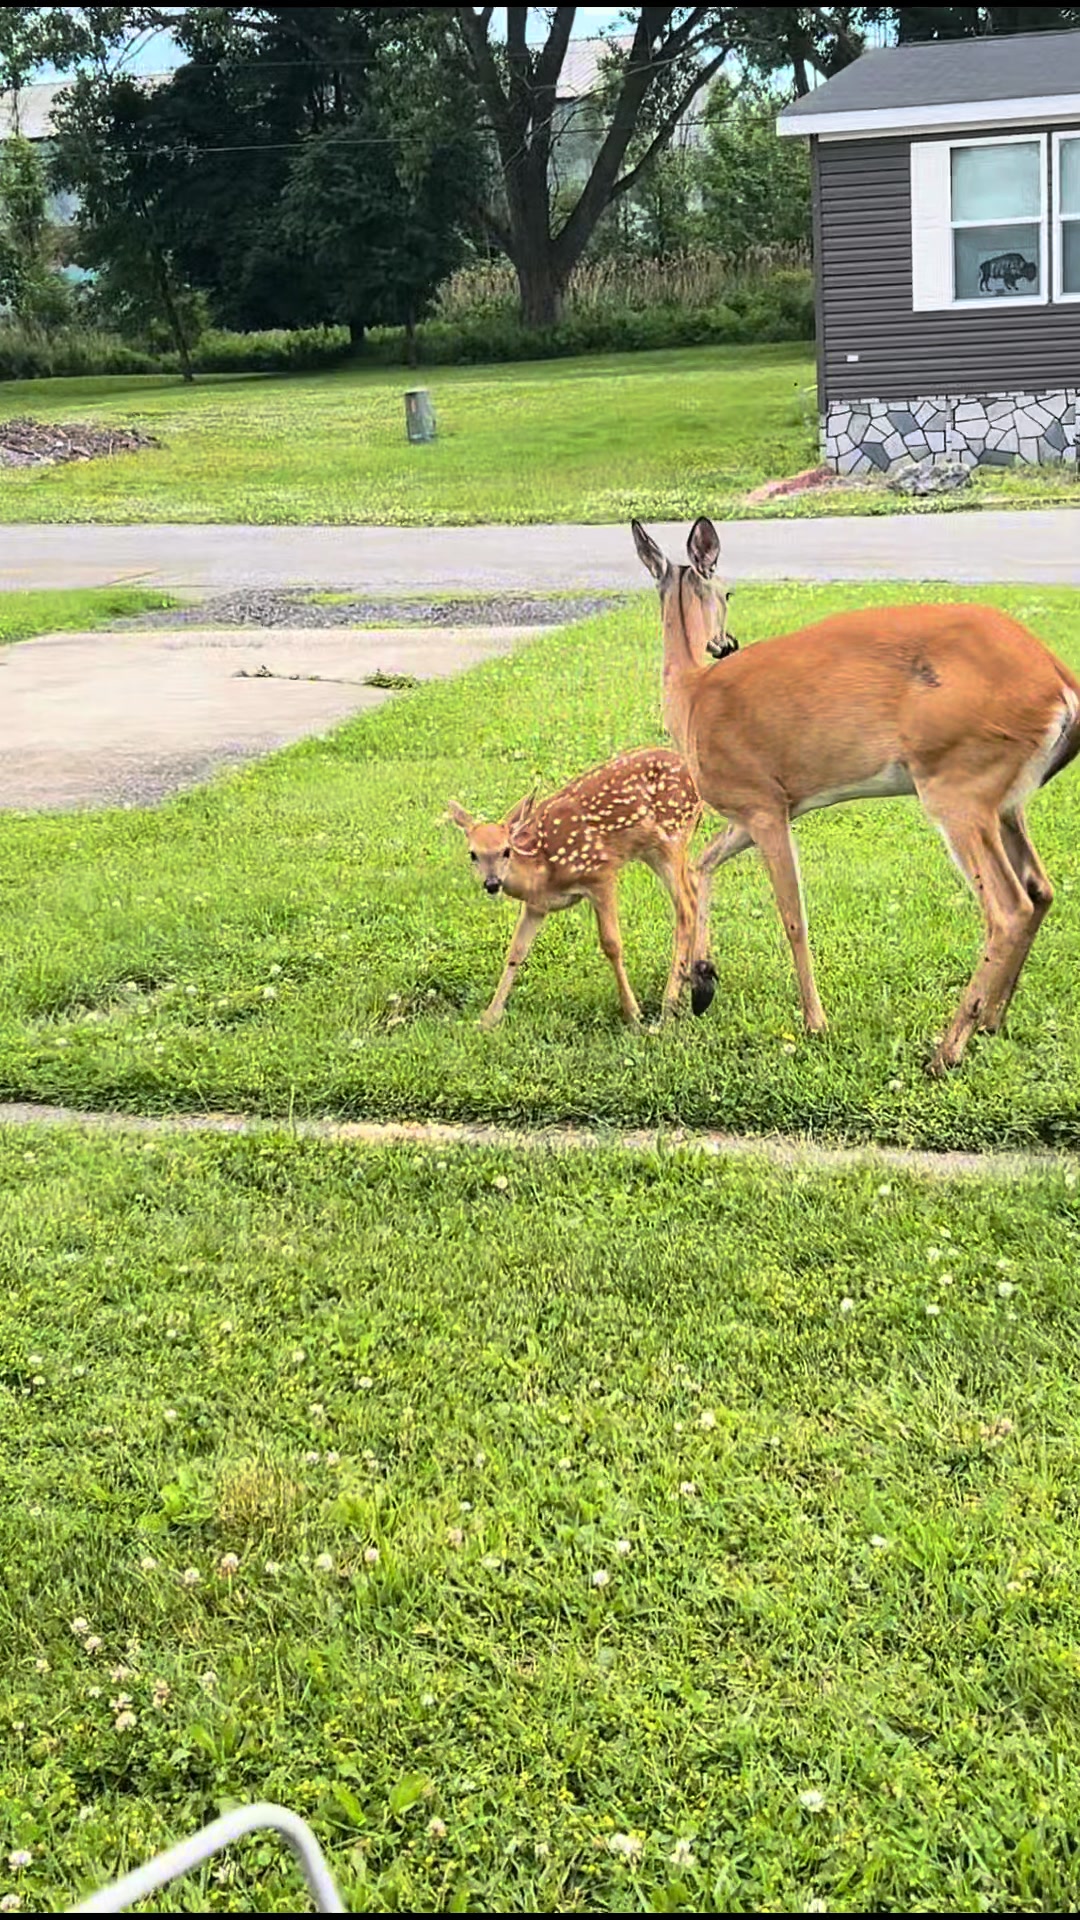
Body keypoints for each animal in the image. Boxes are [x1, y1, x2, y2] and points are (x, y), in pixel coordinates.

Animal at [447, 749, 702, 1029]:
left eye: (506, 851)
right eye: (473, 854)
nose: (492, 883)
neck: (542, 870)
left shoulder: (600, 873)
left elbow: (612, 944)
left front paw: (633, 1015)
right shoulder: (536, 906)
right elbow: (516, 950)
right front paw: (489, 1018)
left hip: (671, 836)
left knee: (686, 906)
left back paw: (669, 1005)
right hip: (659, 849)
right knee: (695, 884)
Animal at [632, 515, 1080, 1074]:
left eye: (729, 590)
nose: (725, 642)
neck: (691, 698)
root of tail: (1060, 680)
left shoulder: (763, 802)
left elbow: (792, 916)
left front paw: (813, 1022)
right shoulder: (757, 807)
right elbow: (699, 868)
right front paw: (697, 985)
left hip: (958, 783)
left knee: (1009, 907)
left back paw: (946, 1051)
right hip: (1003, 801)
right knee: (1040, 887)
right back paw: (990, 1022)